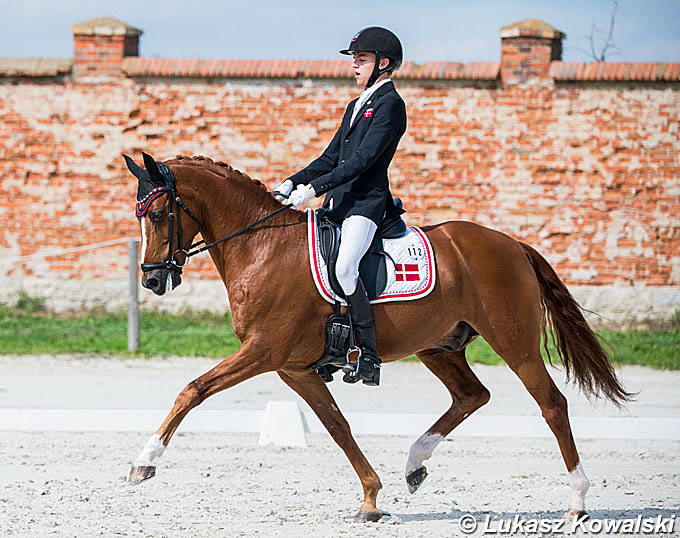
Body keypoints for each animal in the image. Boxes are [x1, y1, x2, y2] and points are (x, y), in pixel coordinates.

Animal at [123, 153, 632, 520]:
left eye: (161, 214)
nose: (152, 279)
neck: (262, 245)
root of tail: (512, 243)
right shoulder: (293, 368)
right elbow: (337, 426)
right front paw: (370, 499)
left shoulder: (264, 351)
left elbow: (193, 389)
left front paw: (144, 462)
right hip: (438, 346)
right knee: (472, 395)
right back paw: (414, 464)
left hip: (515, 343)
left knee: (552, 404)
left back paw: (579, 502)